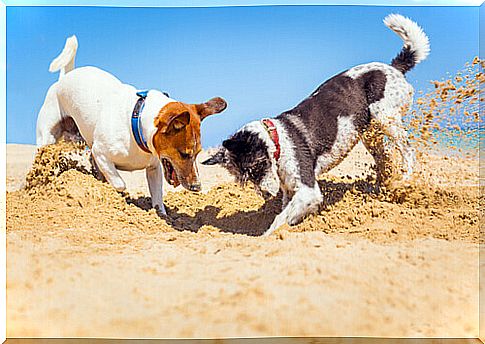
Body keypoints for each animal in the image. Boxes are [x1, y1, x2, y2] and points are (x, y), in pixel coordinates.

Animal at [37, 35, 227, 212]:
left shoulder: (154, 167)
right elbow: (119, 183)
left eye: (198, 153)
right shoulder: (101, 152)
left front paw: (161, 215)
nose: (197, 187)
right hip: (47, 138)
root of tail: (65, 77)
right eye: (184, 154)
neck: (137, 124)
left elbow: (157, 197)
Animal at [202, 12, 430, 234]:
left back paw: (405, 181)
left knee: (408, 151)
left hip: (385, 117)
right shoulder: (290, 191)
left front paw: (266, 237)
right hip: (369, 133)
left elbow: (278, 221)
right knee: (385, 160)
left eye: (256, 166)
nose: (265, 195)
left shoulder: (307, 190)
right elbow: (287, 213)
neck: (277, 140)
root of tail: (394, 68)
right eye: (244, 178)